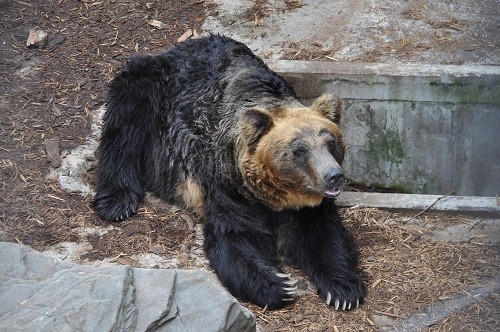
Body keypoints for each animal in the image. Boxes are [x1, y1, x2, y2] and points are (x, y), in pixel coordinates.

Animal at [94, 35, 366, 310]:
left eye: (330, 142)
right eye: (299, 150)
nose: (334, 175)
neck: (273, 195)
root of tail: (181, 46)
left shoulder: (307, 206)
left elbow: (323, 235)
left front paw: (343, 290)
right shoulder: (227, 186)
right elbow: (236, 236)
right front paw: (279, 285)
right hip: (151, 89)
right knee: (125, 127)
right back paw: (117, 201)